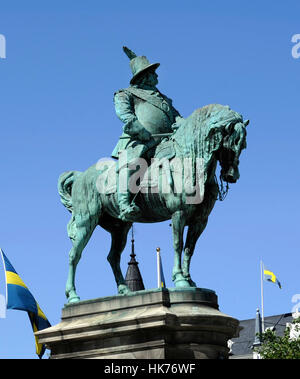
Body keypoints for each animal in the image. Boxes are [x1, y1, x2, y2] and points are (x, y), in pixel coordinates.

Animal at [58, 103, 248, 302]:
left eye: (243, 145)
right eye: (231, 143)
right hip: (86, 221)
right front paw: (180, 279)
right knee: (74, 255)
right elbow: (178, 244)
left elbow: (189, 249)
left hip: (120, 228)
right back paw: (72, 296)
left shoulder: (200, 221)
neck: (189, 162)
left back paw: (125, 290)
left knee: (113, 257)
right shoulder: (178, 213)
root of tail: (80, 176)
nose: (232, 176)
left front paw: (189, 279)